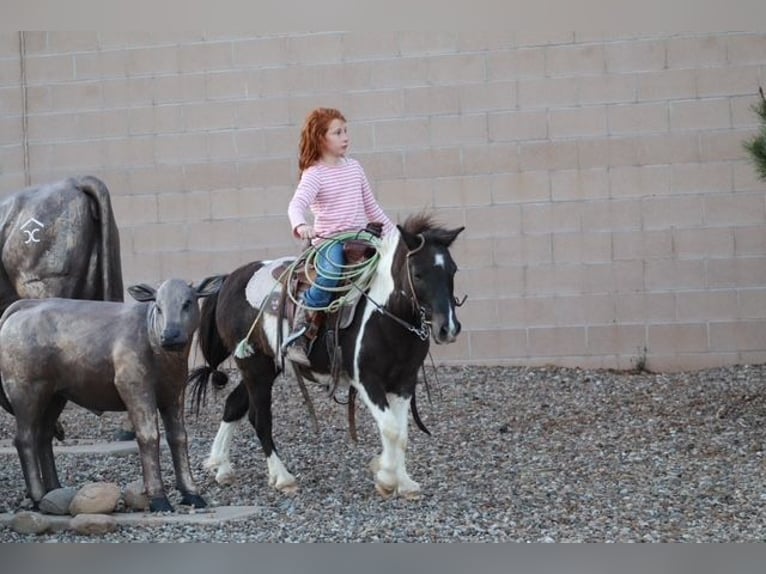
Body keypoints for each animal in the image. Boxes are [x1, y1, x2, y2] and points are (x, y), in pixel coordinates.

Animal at [188, 214, 464, 499]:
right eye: (418, 274)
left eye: (453, 270)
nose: (448, 328)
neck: (385, 314)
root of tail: (229, 280)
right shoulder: (367, 380)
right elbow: (390, 428)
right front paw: (386, 478)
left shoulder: (404, 382)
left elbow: (402, 433)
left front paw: (404, 481)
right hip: (253, 366)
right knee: (260, 419)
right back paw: (282, 477)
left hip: (265, 365)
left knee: (234, 405)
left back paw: (221, 466)